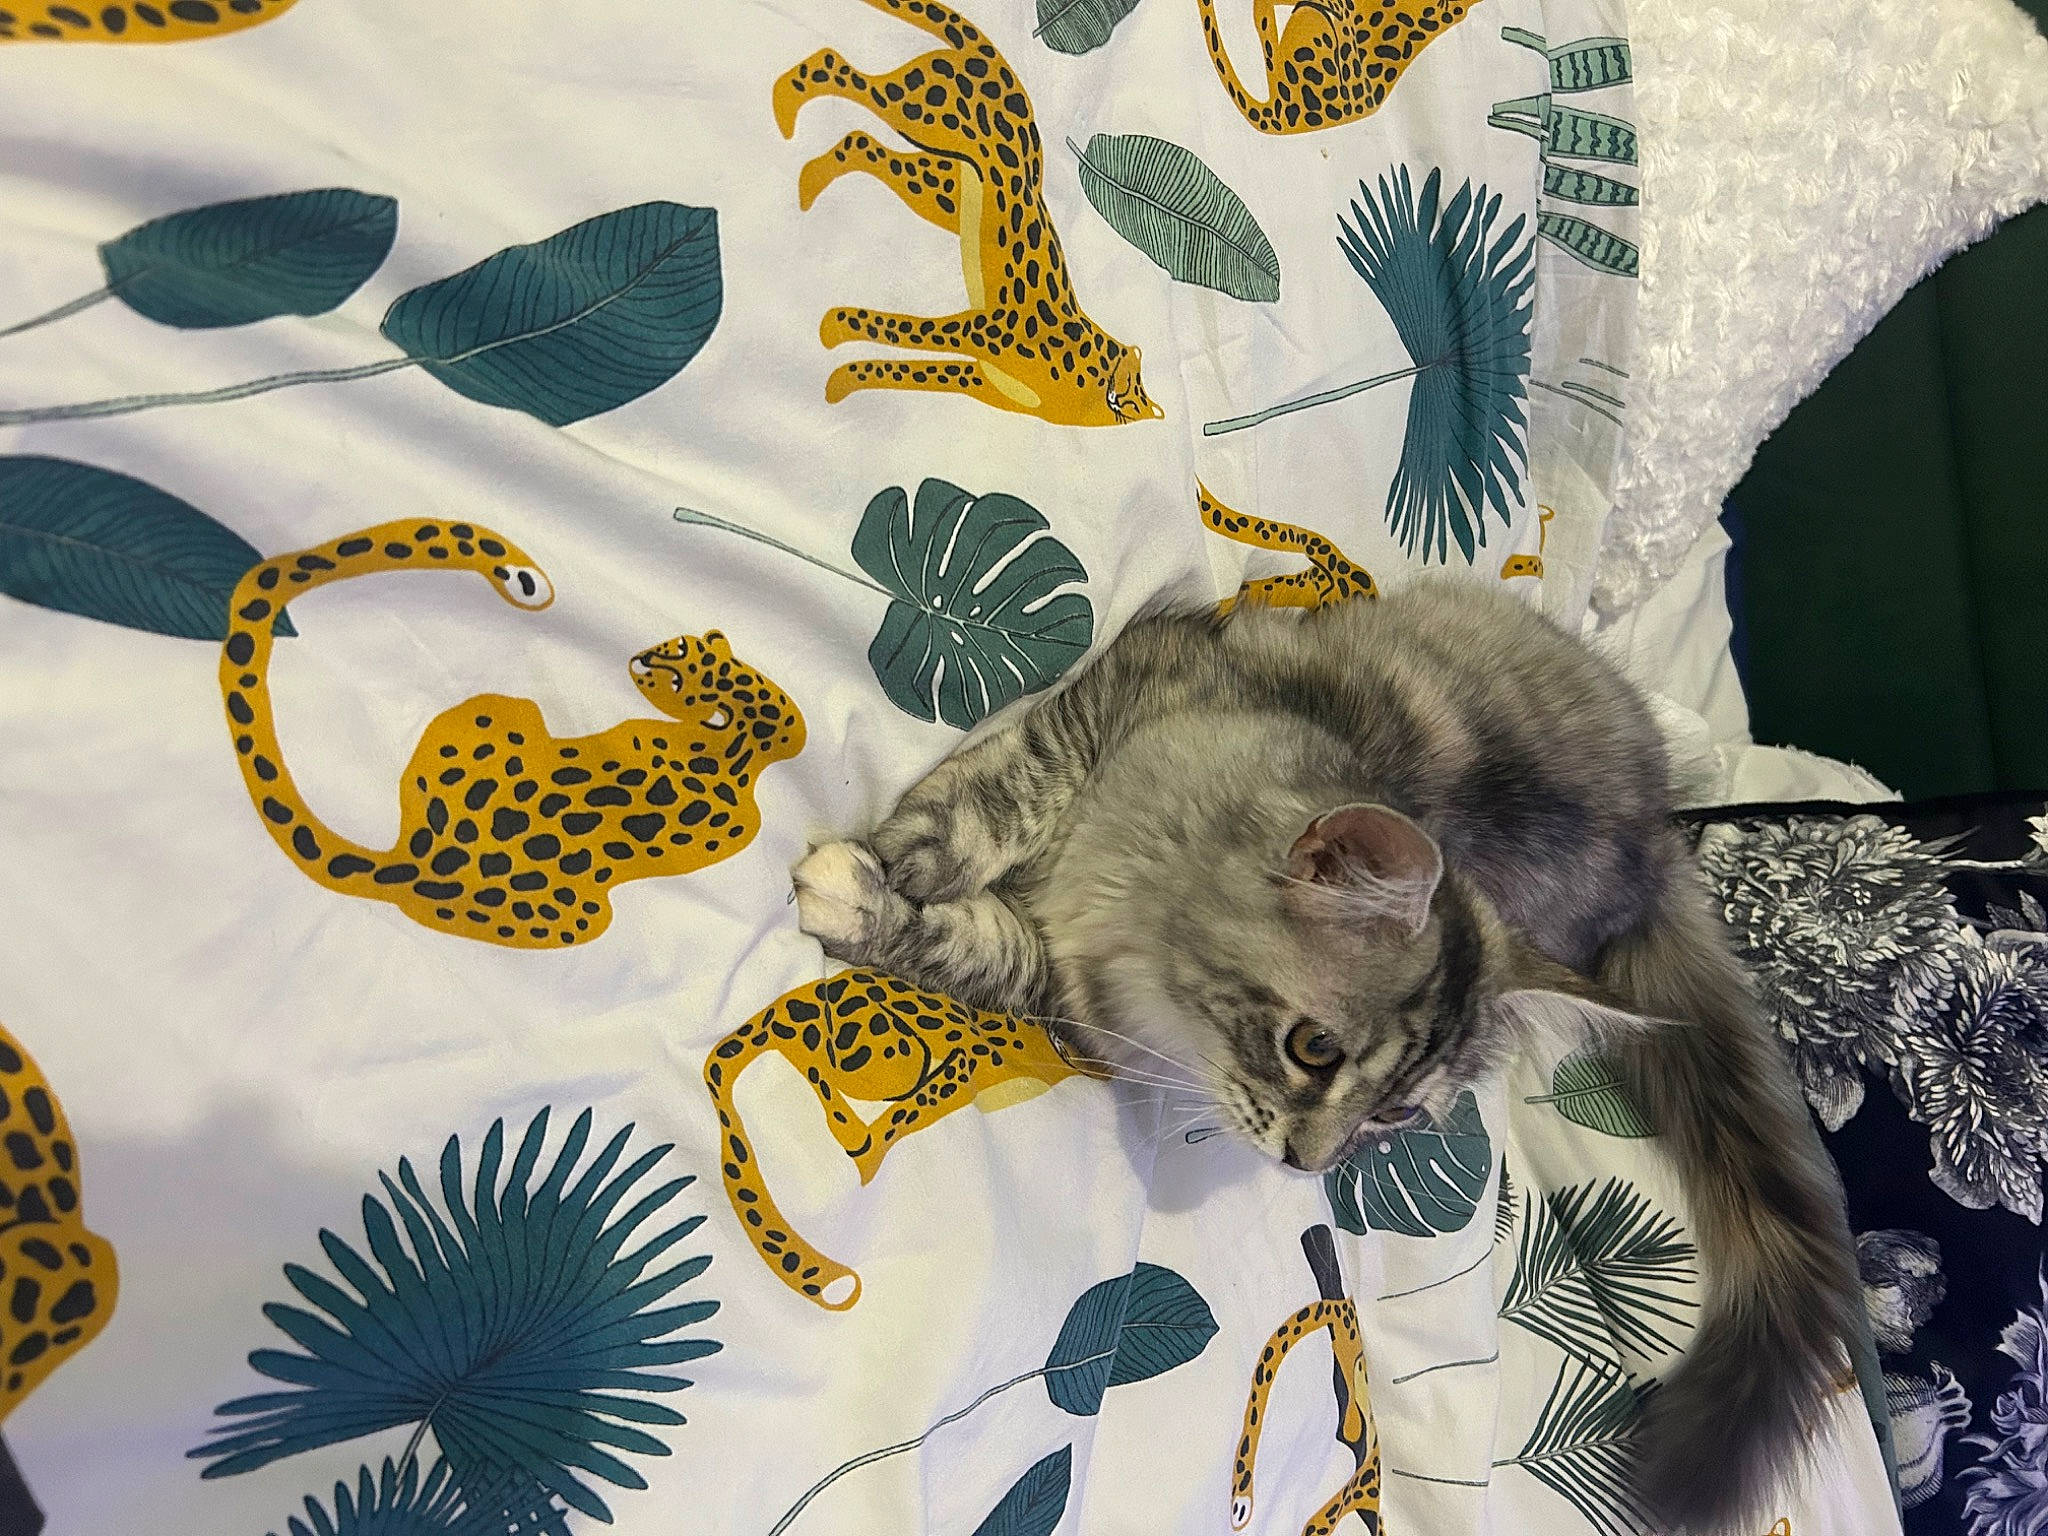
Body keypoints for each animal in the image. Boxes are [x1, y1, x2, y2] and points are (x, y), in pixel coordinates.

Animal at [773, 0, 1164, 428]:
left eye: (1131, 406)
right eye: (1123, 390)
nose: (1120, 401)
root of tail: (994, 58)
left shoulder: (981, 379)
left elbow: (907, 369)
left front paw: (842, 378)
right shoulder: (983, 329)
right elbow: (906, 330)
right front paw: (836, 329)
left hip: (940, 187)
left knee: (861, 141)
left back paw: (809, 180)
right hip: (920, 110)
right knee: (838, 66)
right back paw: (786, 102)